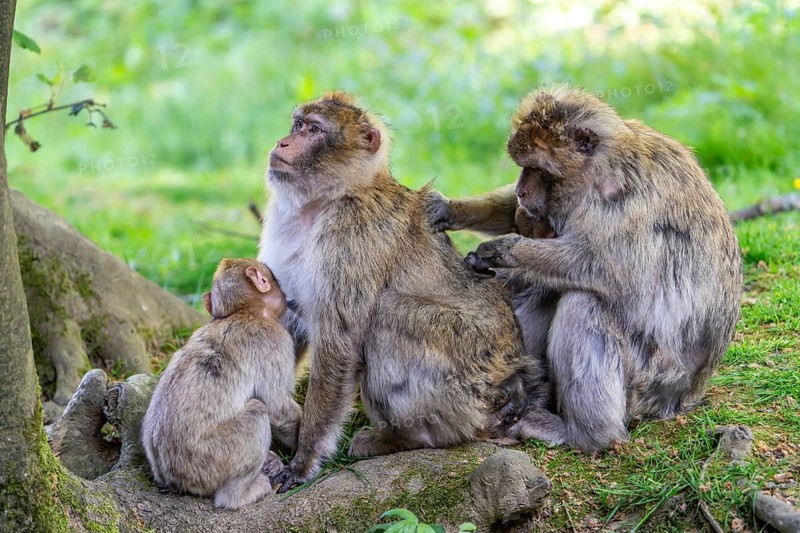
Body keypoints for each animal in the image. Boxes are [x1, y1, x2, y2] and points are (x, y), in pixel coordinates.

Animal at [141, 258, 302, 509]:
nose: (287, 297)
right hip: (212, 460)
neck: (244, 312)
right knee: (258, 411)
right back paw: (241, 494)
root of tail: (171, 478)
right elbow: (277, 407)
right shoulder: (275, 341)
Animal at [258, 91, 544, 492]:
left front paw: (302, 462)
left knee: (386, 315)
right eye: (298, 125)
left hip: (469, 384)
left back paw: (404, 437)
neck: (331, 197)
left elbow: (339, 340)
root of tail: (514, 375)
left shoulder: (350, 233)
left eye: (314, 131)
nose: (283, 142)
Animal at [432, 86, 743, 451]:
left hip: (648, 381)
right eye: (523, 168)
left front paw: (505, 250)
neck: (599, 169)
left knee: (582, 302)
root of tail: (686, 395)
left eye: (537, 168)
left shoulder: (623, 201)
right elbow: (523, 219)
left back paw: (585, 434)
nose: (522, 190)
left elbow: (606, 270)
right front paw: (453, 209)